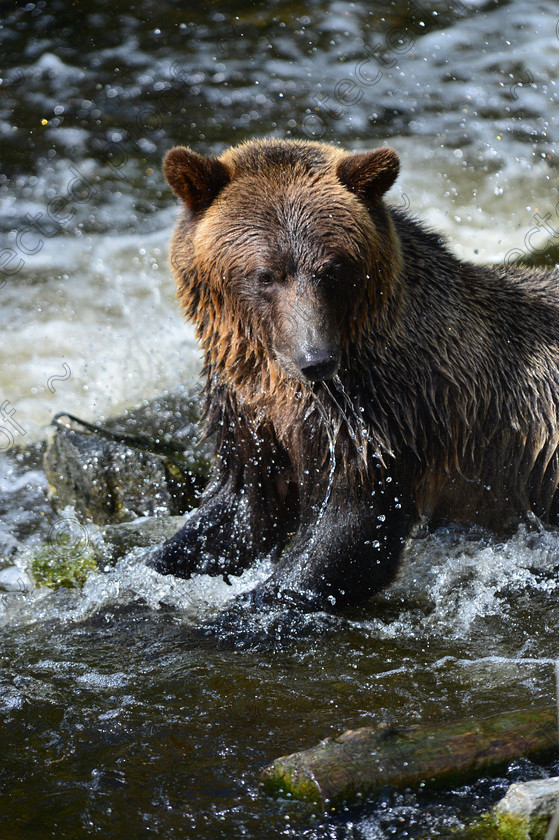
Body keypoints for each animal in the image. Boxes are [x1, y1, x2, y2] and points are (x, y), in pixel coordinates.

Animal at [150, 136, 559, 612]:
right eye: (265, 274)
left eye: (332, 269)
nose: (316, 359)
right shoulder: (247, 409)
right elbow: (238, 509)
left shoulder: (385, 410)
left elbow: (351, 530)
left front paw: (247, 609)